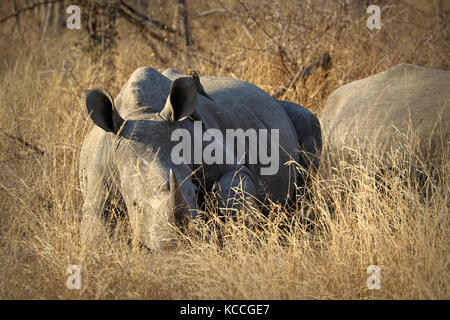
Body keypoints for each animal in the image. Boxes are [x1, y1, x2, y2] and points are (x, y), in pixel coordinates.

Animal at [79, 66, 322, 249]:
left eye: (195, 192)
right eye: (134, 204)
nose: (175, 246)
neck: (142, 112)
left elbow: (232, 190)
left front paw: (243, 241)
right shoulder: (99, 177)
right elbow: (96, 229)